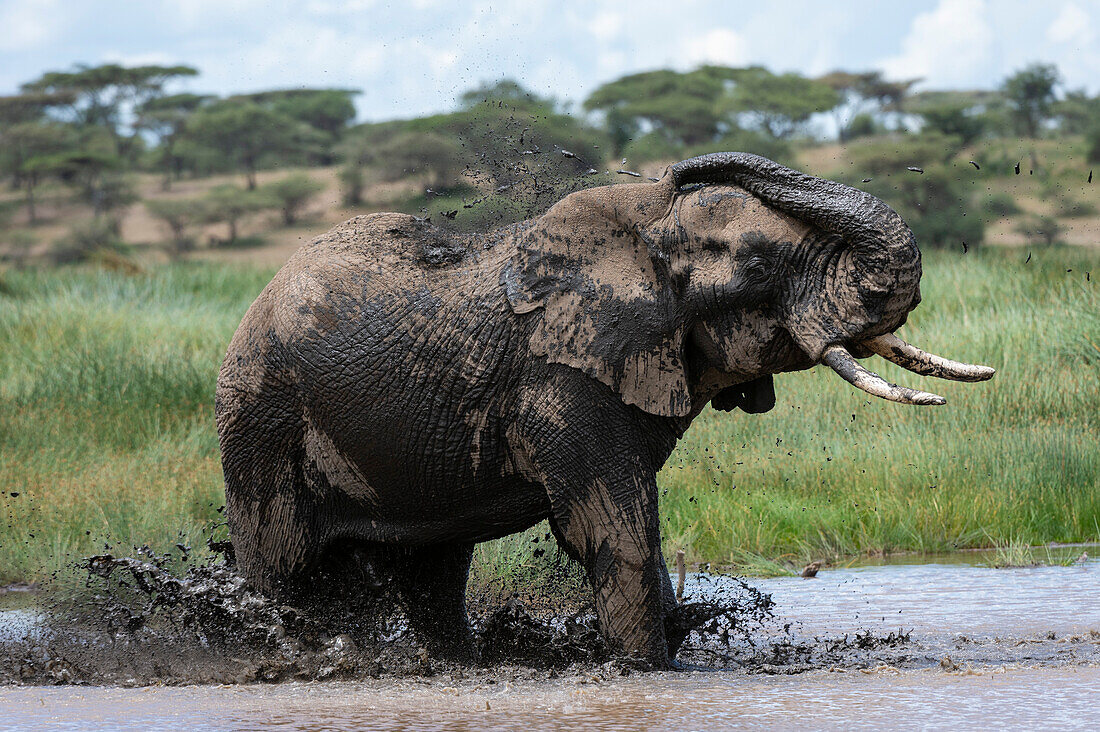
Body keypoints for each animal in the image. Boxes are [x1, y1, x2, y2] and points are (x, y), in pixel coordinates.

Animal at [216, 153, 998, 669]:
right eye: (755, 267)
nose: (677, 171)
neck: (643, 230)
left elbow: (637, 523)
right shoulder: (561, 378)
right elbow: (613, 525)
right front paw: (648, 671)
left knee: (434, 573)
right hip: (261, 417)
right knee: (284, 571)